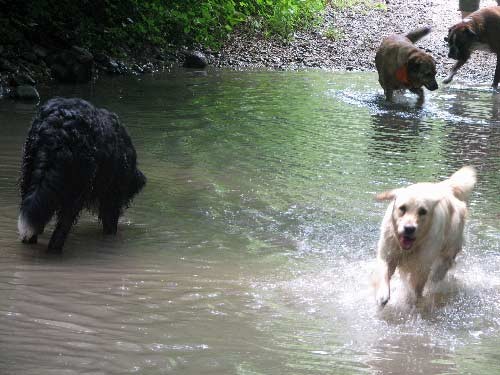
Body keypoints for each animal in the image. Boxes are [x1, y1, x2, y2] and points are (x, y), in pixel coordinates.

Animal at [18, 98, 146, 251]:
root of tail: (57, 129)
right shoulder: (112, 196)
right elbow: (110, 226)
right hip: (76, 190)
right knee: (61, 230)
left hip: (28, 175)